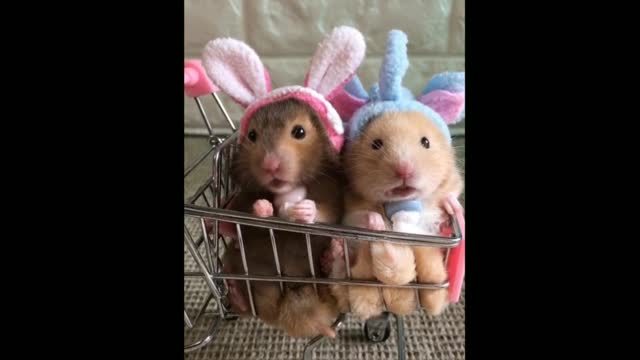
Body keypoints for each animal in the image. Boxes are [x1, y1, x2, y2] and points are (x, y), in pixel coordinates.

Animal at [220, 98, 344, 338]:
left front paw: (305, 210)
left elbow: (327, 213)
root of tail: (283, 313)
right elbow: (252, 215)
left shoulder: (334, 194)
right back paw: (234, 289)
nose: (270, 165)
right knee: (245, 303)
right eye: (252, 135)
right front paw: (263, 208)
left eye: (299, 131)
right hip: (235, 260)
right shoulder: (245, 199)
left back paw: (331, 254)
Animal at [338, 110, 462, 318]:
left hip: (431, 276)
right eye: (376, 144)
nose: (404, 171)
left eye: (426, 142)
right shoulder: (351, 211)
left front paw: (451, 206)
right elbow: (359, 216)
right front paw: (375, 219)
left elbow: (447, 202)